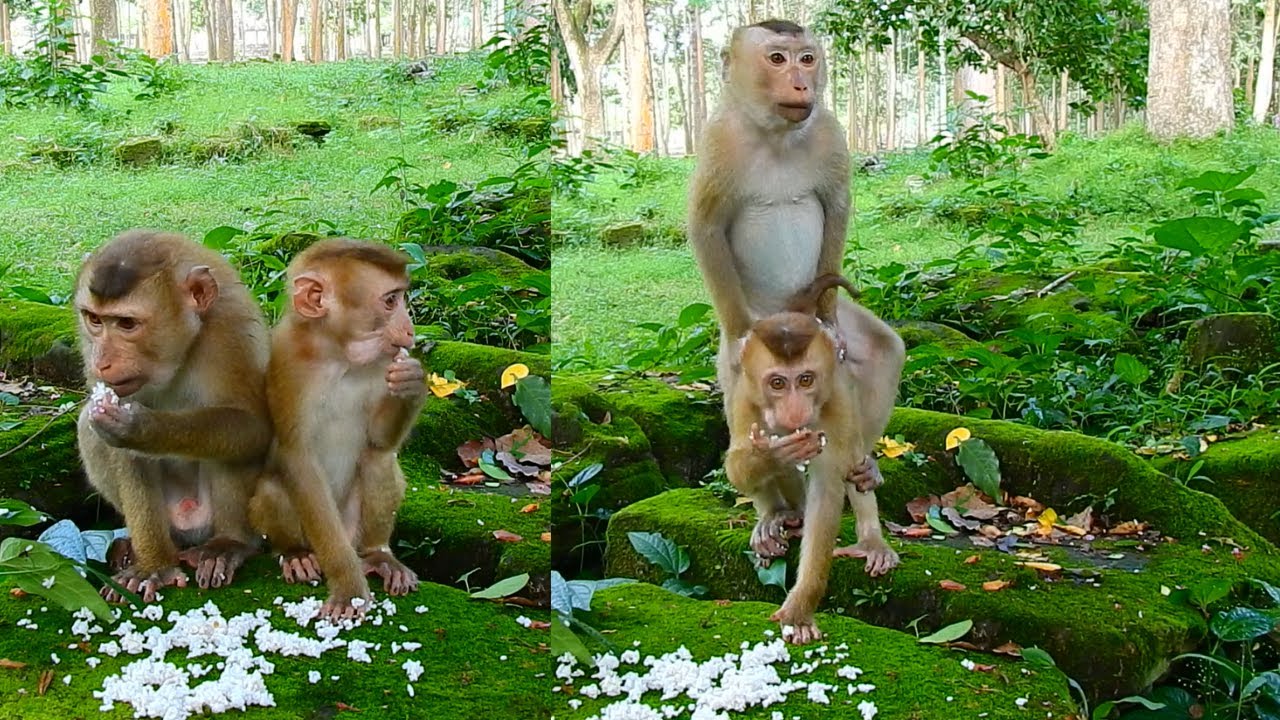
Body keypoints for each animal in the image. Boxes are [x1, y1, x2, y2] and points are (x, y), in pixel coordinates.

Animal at [74, 230, 271, 603]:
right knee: (86, 428)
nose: (101, 362)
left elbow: (251, 427)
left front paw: (141, 429)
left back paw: (229, 544)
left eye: (127, 323)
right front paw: (154, 566)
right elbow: (121, 451)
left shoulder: (230, 330)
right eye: (94, 320)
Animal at [248, 238, 426, 620]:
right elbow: (297, 456)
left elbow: (378, 440)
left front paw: (413, 381)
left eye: (401, 297)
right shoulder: (288, 361)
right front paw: (348, 585)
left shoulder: (383, 362)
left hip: (355, 527)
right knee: (273, 490)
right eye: (391, 301)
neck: (339, 355)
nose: (410, 331)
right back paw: (296, 554)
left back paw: (377, 555)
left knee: (378, 460)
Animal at [687, 19, 904, 516]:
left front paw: (832, 320)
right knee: (740, 394)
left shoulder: (828, 130)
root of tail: (790, 318)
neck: (776, 135)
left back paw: (864, 465)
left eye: (806, 58)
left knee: (882, 349)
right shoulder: (718, 139)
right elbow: (707, 227)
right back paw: (772, 511)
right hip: (759, 333)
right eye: (776, 59)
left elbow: (837, 204)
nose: (802, 83)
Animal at [725, 273, 901, 645]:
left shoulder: (835, 399)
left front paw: (800, 607)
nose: (795, 411)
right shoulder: (744, 396)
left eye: (805, 379)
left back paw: (870, 538)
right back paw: (777, 517)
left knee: (853, 460)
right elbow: (737, 467)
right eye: (777, 383)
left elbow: (828, 489)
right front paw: (772, 455)